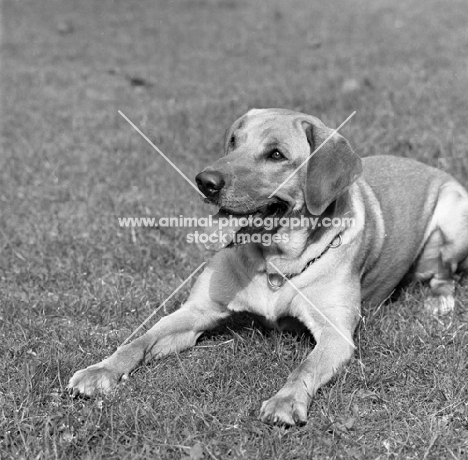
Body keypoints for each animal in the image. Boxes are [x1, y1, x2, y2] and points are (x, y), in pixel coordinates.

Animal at [68, 109, 468, 426]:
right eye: (233, 142)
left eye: (276, 154)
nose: (205, 181)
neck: (274, 262)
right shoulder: (197, 311)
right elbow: (140, 339)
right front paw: (101, 370)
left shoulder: (336, 334)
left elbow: (305, 367)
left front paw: (286, 402)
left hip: (454, 217)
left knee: (445, 274)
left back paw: (440, 300)